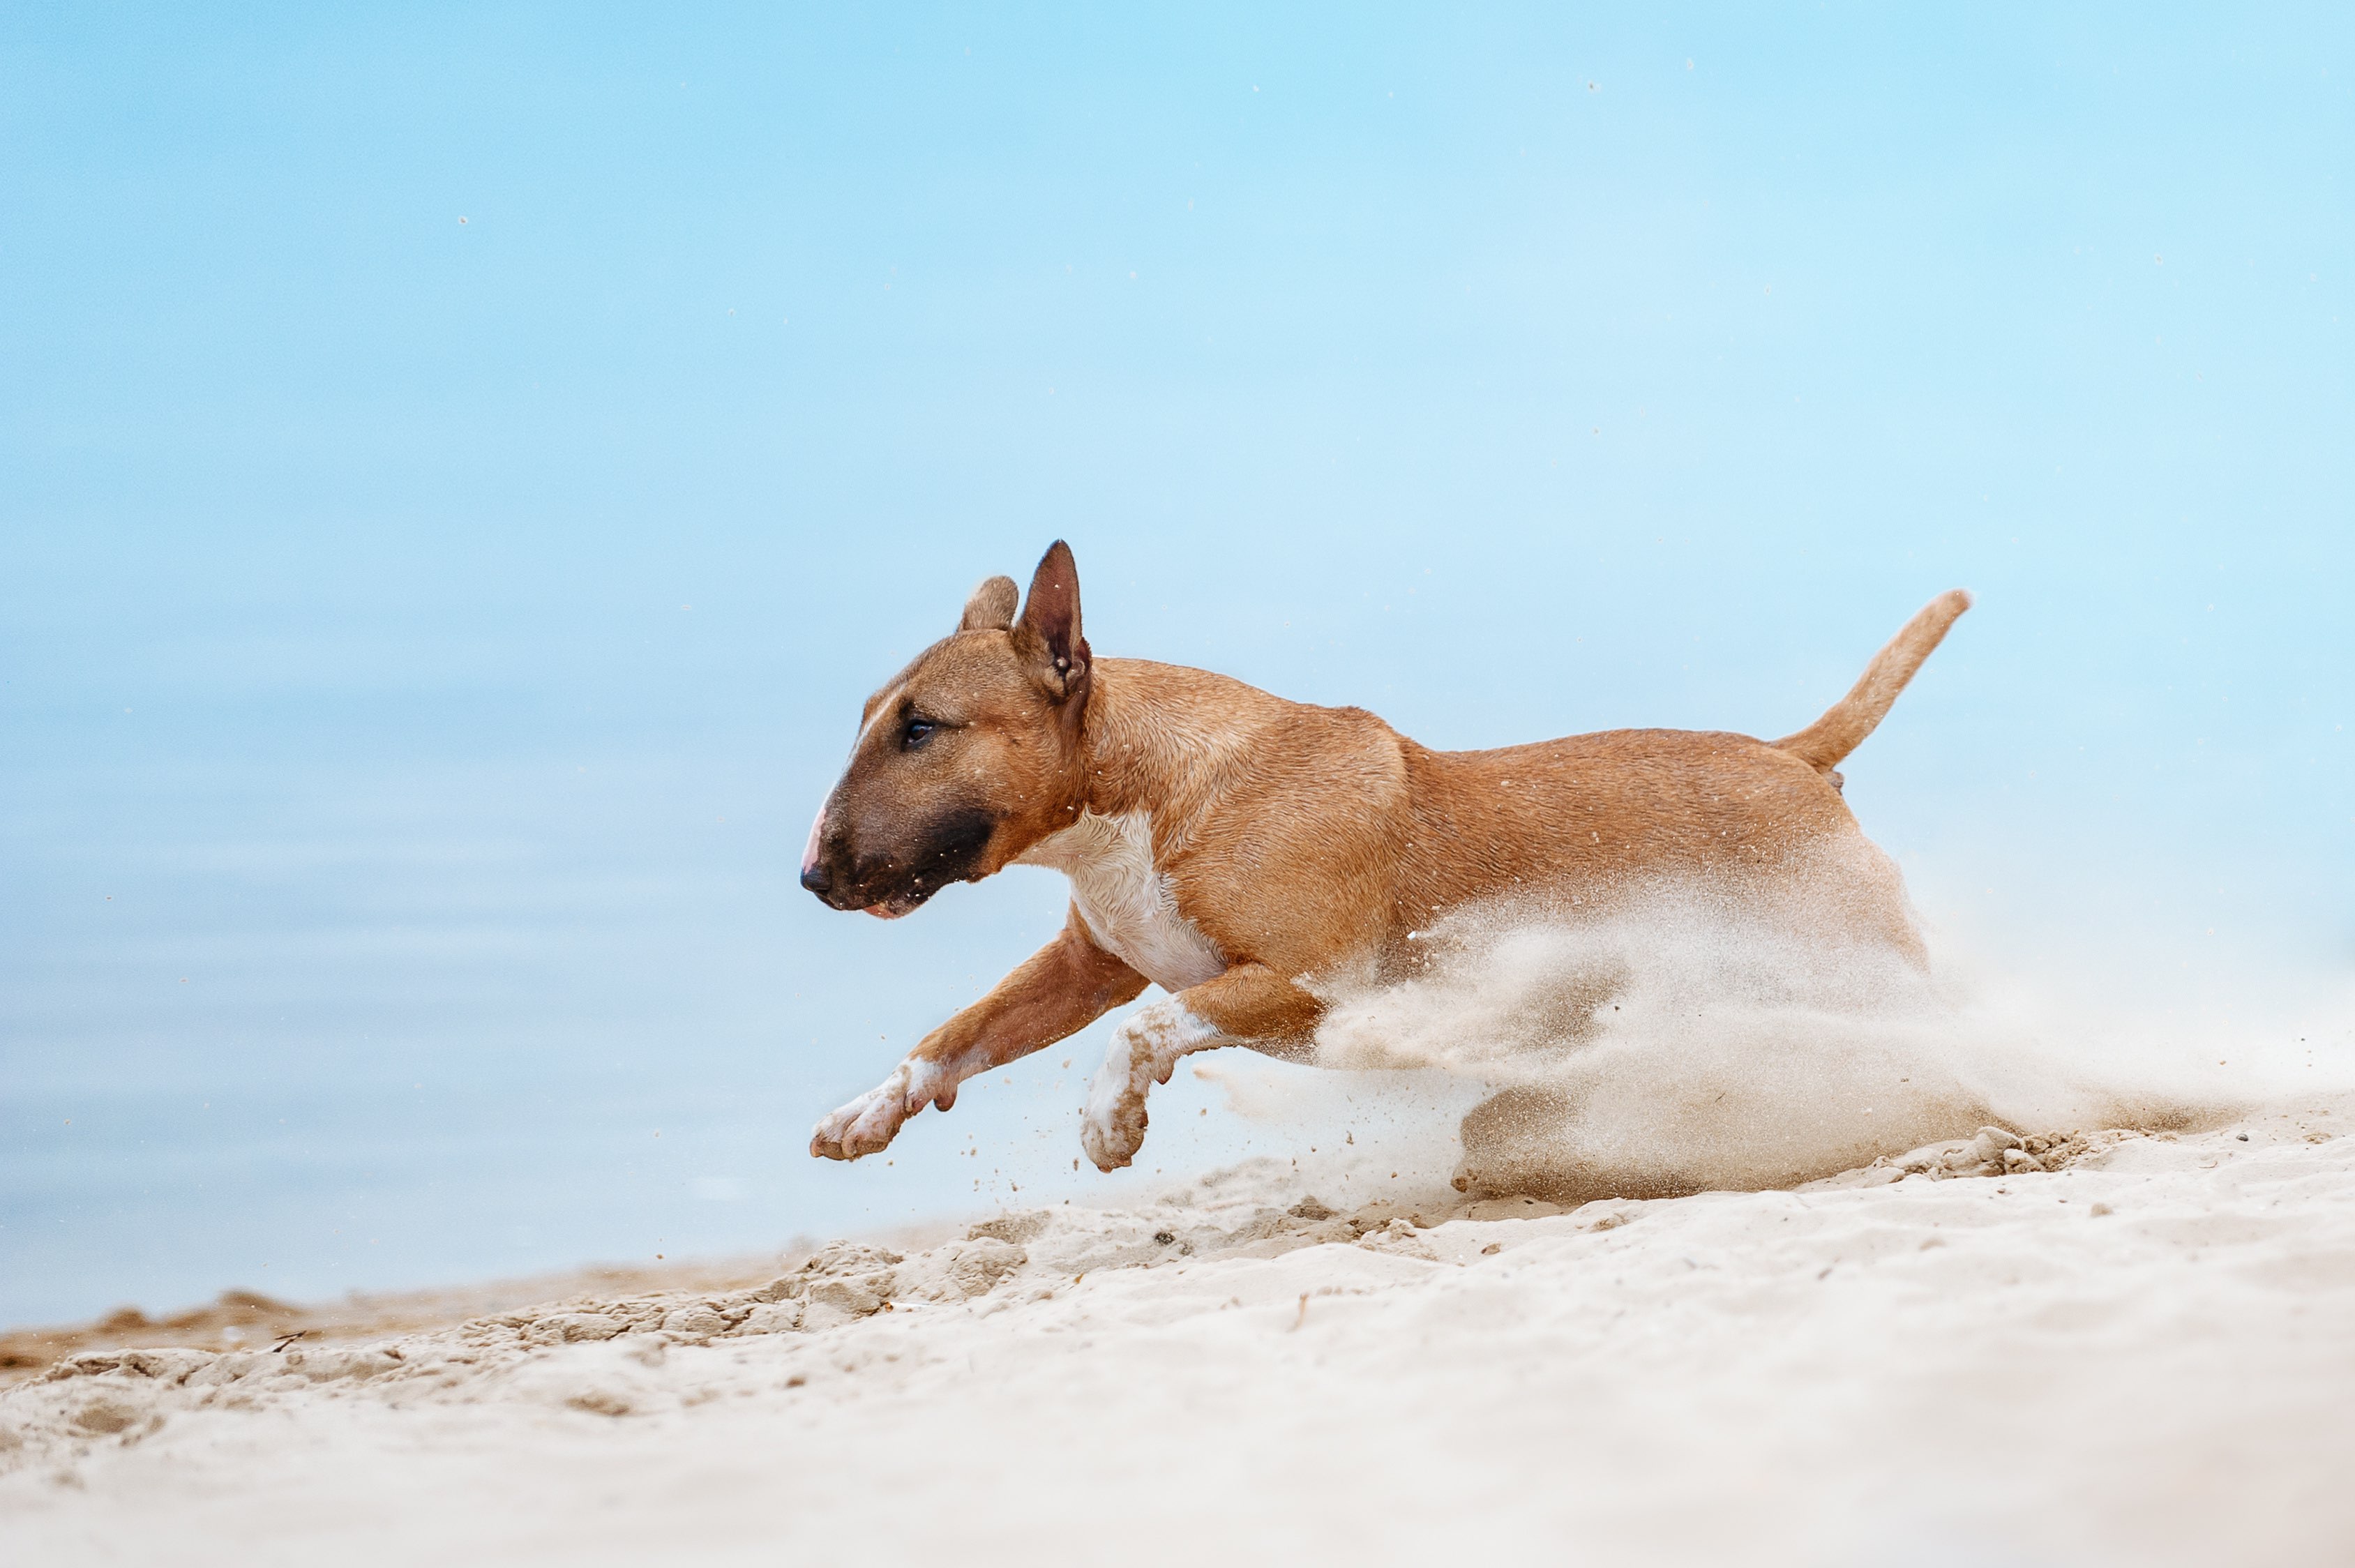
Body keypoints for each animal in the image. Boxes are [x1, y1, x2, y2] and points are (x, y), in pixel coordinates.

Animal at [805, 543, 1969, 1168]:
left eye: (922, 729)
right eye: (869, 718)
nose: (814, 878)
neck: (1152, 790)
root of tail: (1792, 757)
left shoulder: (1319, 984)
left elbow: (1145, 1028)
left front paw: (1106, 1121)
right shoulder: (1086, 964)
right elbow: (960, 1034)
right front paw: (867, 1111)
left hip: (1845, 956)